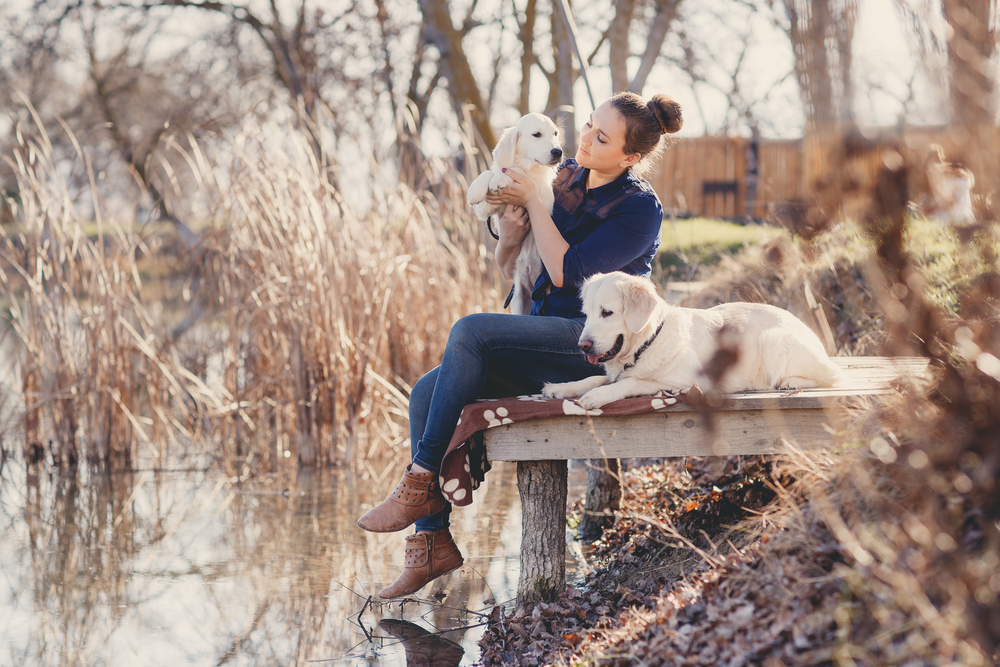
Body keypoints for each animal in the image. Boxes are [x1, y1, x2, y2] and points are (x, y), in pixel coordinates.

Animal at [468, 112, 564, 316]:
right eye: (536, 134)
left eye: (555, 133)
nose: (558, 152)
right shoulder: (486, 210)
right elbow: (489, 172)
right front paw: (476, 189)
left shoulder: (542, 200)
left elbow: (518, 173)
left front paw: (501, 178)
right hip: (519, 301)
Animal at [544, 270, 840, 408]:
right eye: (586, 314)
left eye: (607, 313)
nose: (582, 346)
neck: (647, 344)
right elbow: (594, 378)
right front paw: (561, 388)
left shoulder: (688, 381)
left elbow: (633, 382)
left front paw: (597, 396)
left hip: (774, 340)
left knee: (830, 377)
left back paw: (790, 381)